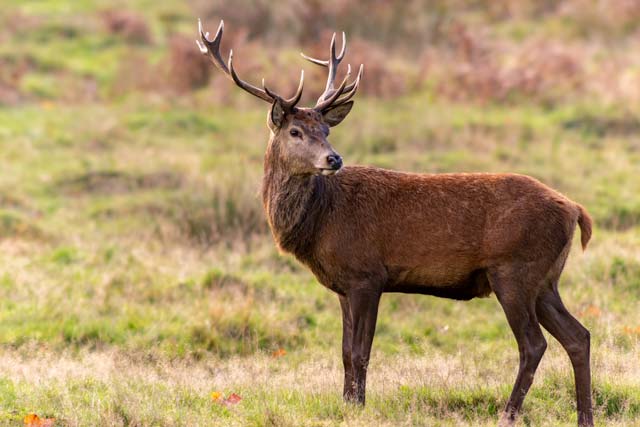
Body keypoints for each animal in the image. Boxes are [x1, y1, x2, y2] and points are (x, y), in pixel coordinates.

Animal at [197, 20, 595, 427]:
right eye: (296, 131)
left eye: (326, 131)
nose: (334, 158)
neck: (320, 222)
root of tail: (575, 209)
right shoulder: (343, 286)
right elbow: (344, 351)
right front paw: (347, 404)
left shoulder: (367, 275)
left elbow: (361, 352)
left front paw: (359, 408)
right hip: (545, 280)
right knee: (578, 336)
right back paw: (584, 417)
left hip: (514, 271)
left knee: (533, 343)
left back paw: (508, 414)